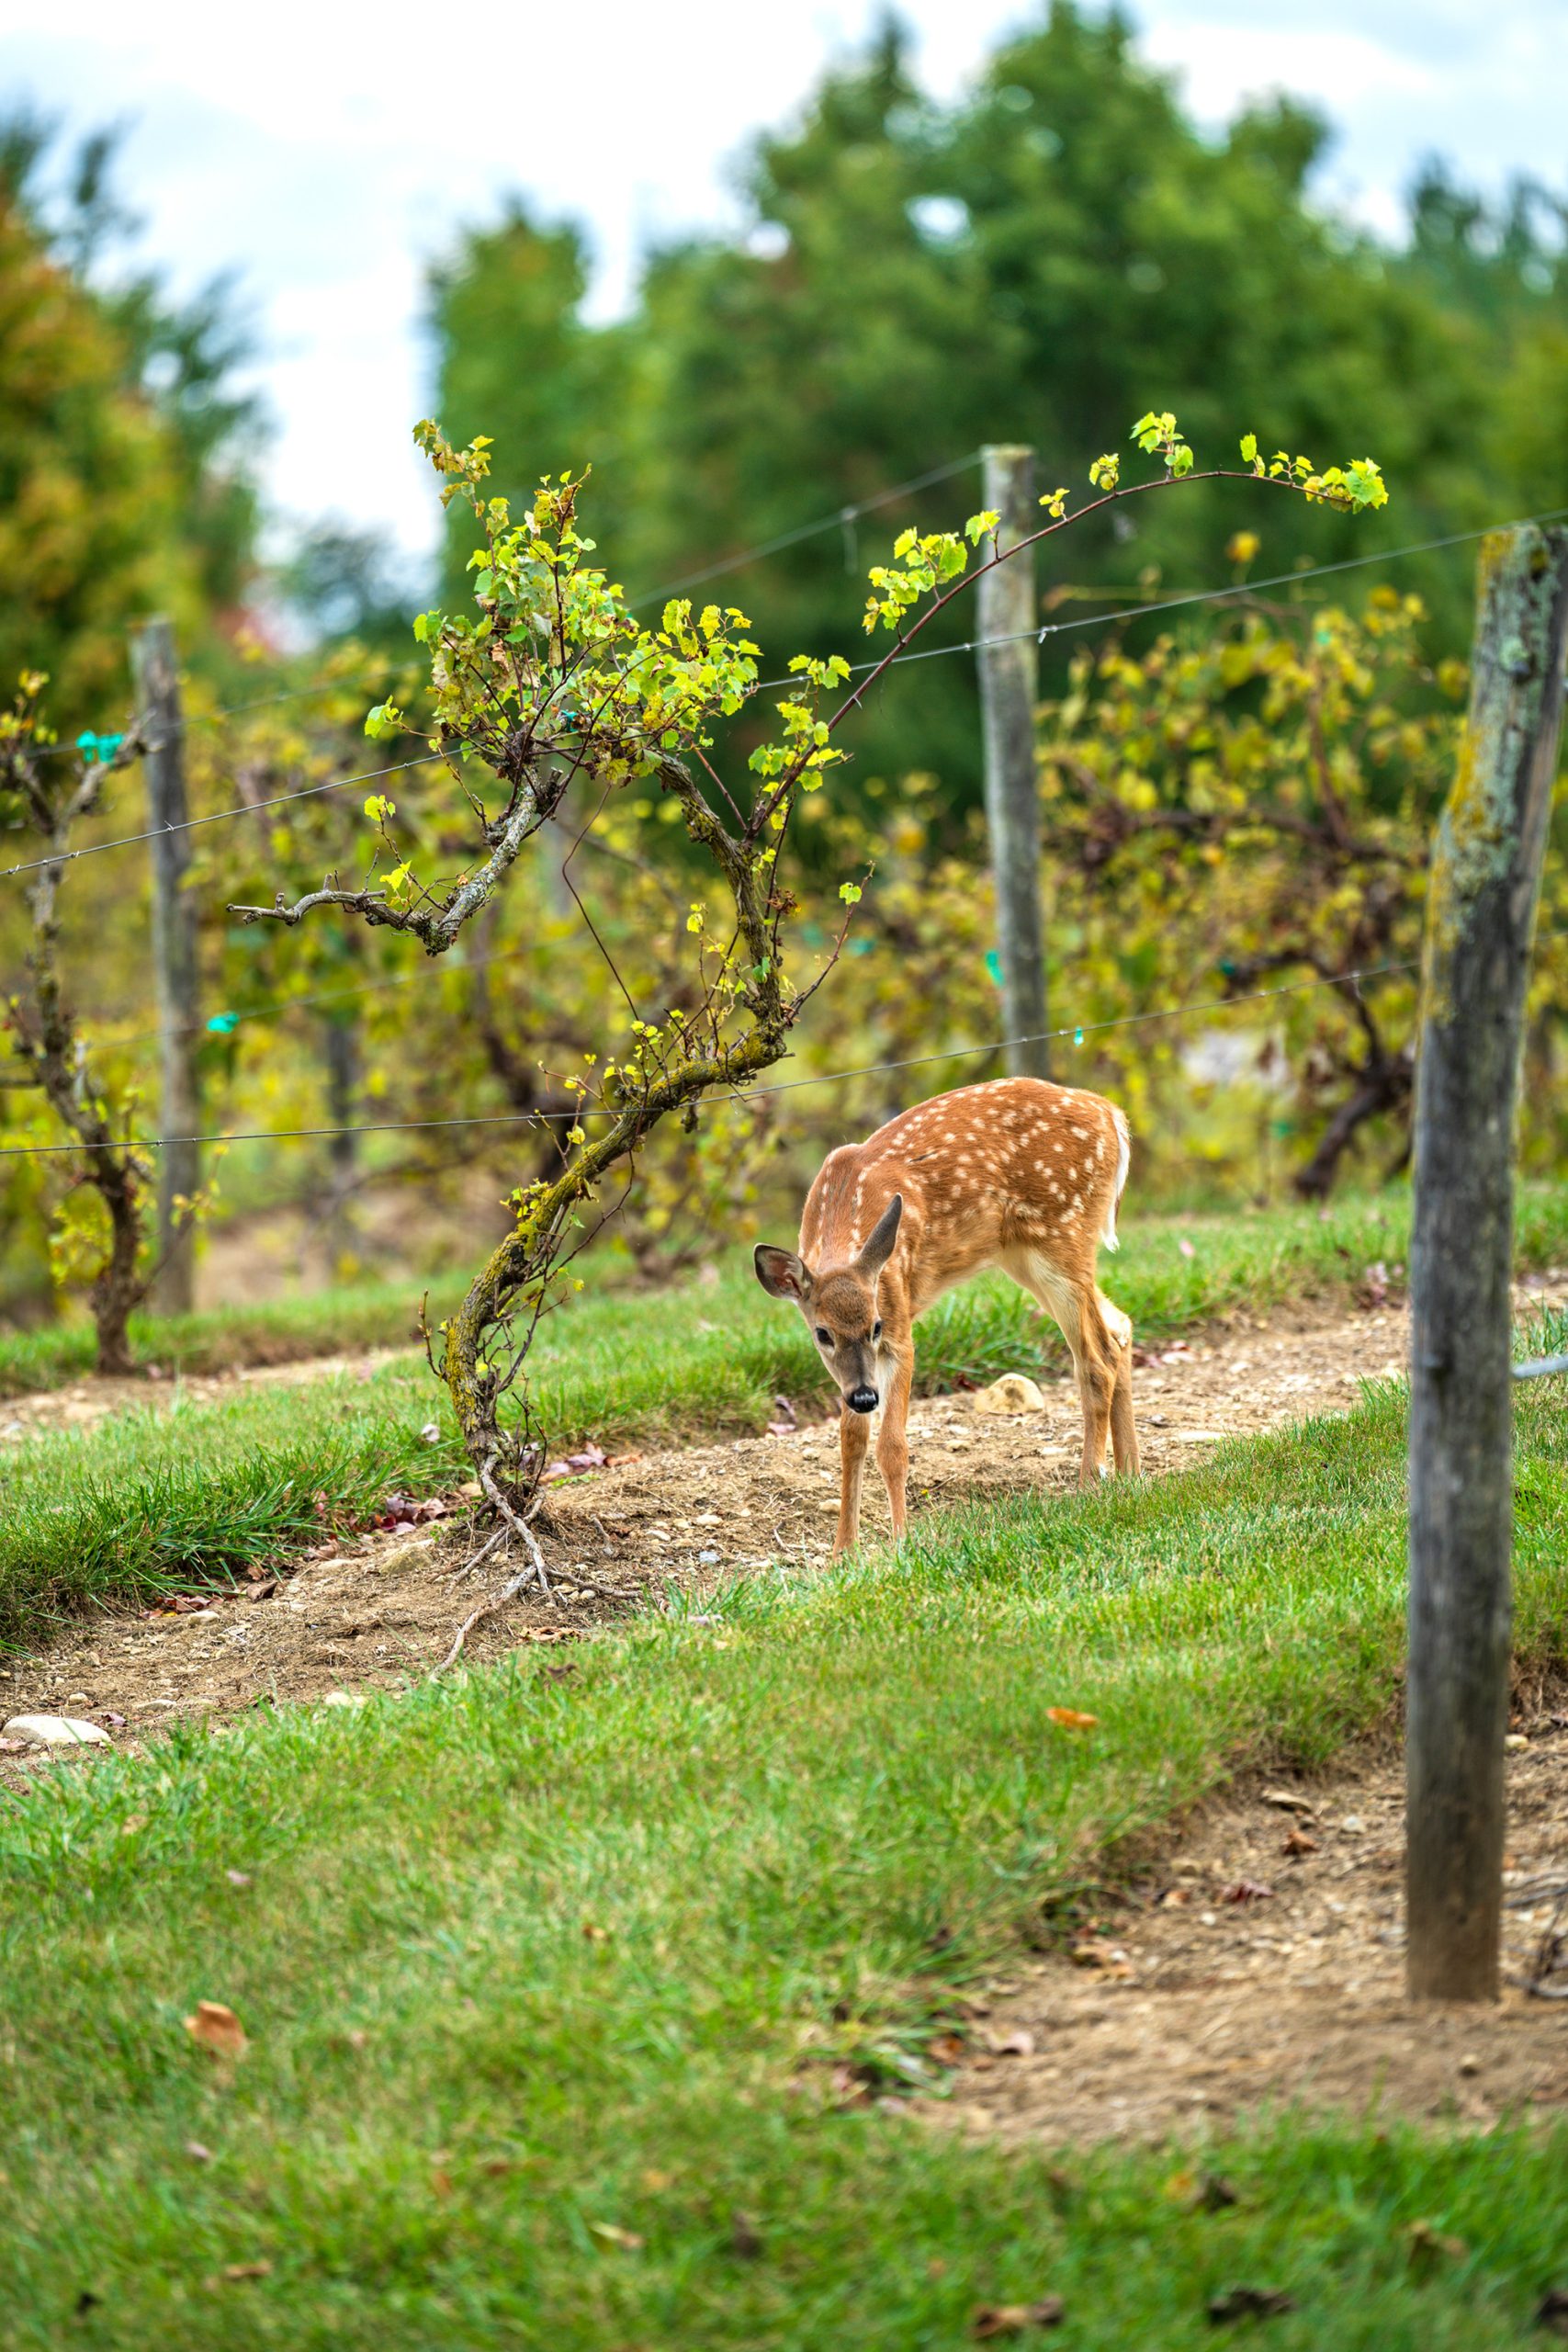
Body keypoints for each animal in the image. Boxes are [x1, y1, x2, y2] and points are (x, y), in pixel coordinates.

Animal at [754, 1076, 1139, 1554]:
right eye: (822, 1334)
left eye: (875, 1326)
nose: (864, 1398)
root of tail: (1111, 1115)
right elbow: (851, 1440)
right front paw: (843, 1552)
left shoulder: (899, 1322)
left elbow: (892, 1446)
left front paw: (901, 1542)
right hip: (1026, 1256)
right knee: (1119, 1326)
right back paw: (1131, 1476)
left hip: (1063, 1235)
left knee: (1096, 1358)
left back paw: (1089, 1486)